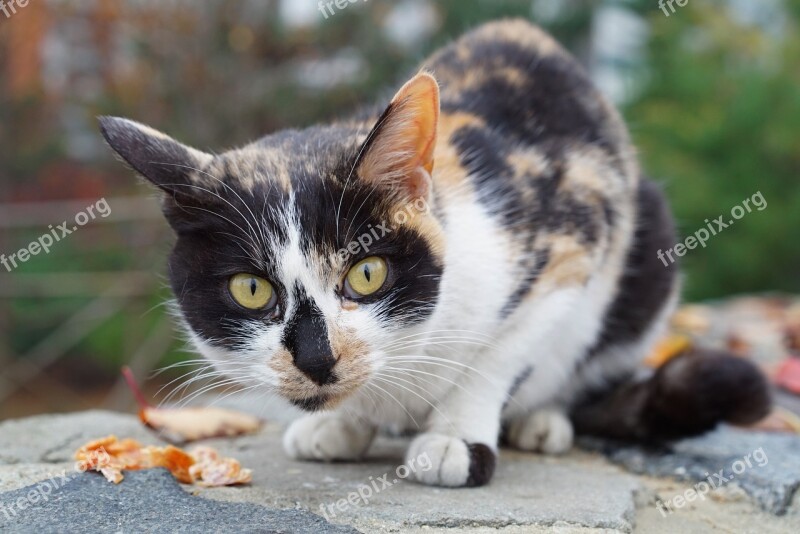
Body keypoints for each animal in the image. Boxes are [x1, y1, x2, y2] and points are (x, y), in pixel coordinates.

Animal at [98, 21, 768, 490]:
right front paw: (344, 424)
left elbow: (500, 356)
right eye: (251, 289)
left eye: (367, 273)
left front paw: (455, 438)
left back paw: (542, 420)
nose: (316, 357)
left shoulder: (572, 241)